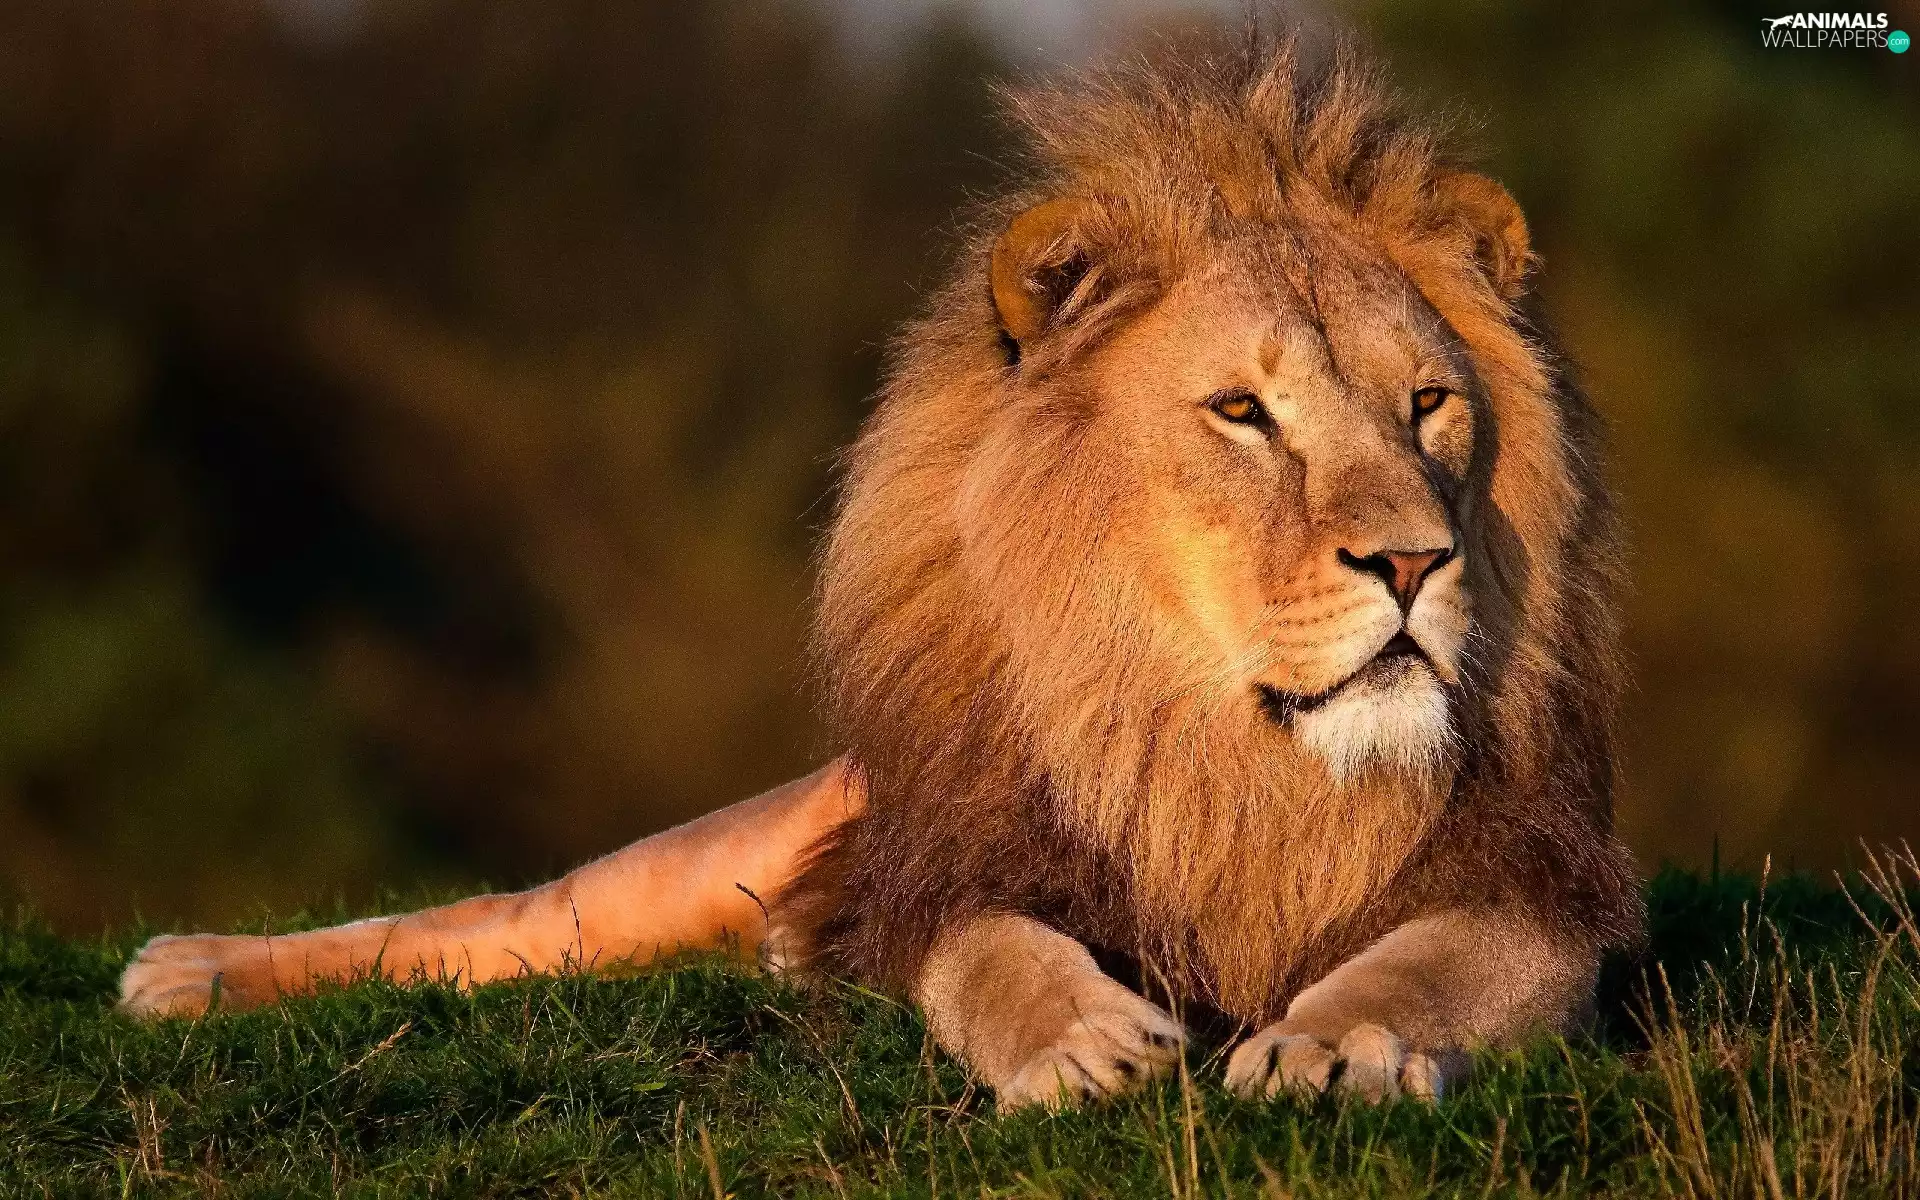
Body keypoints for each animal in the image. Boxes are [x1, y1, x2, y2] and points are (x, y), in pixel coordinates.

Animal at [118, 37, 1642, 1109]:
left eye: (1428, 406)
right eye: (1242, 413)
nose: (1414, 559)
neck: (1229, 761)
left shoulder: (1541, 893)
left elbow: (1433, 964)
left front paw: (1331, 1044)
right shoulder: (946, 867)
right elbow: (991, 954)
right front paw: (1082, 1043)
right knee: (495, 922)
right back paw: (183, 969)